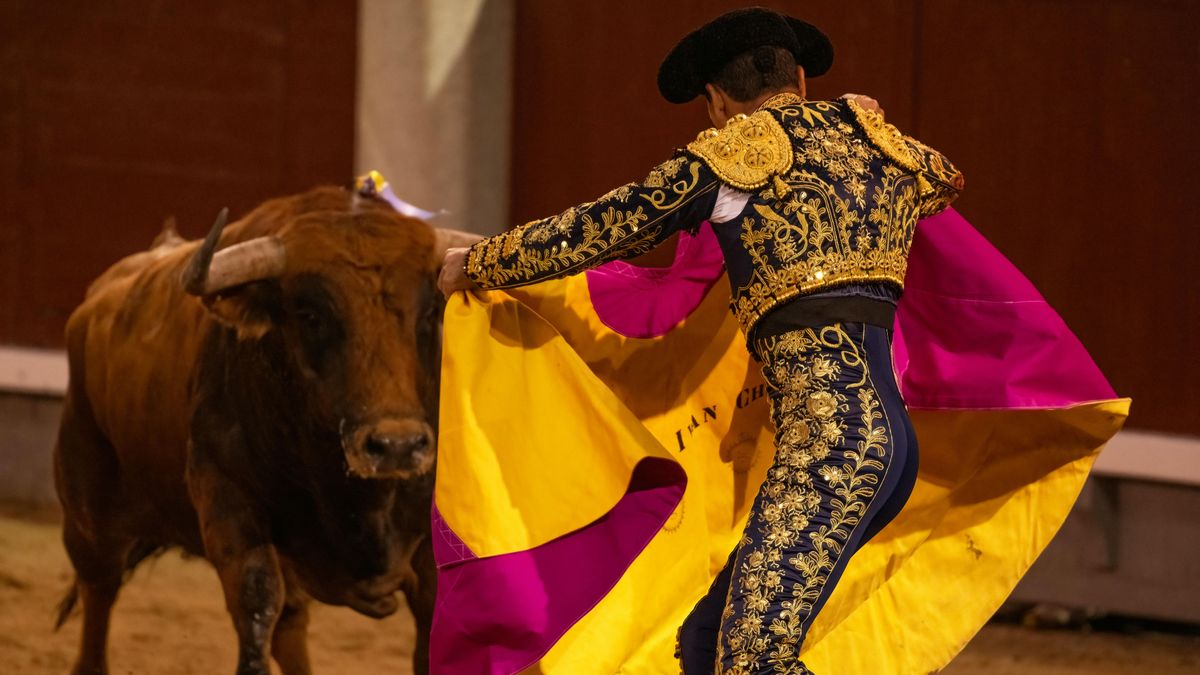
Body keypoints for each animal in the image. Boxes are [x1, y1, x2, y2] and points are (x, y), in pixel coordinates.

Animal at [55, 184, 477, 672]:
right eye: (309, 315)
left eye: (428, 314)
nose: (396, 446)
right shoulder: (228, 502)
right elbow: (257, 603)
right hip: (87, 516)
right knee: (99, 591)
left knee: (291, 626)